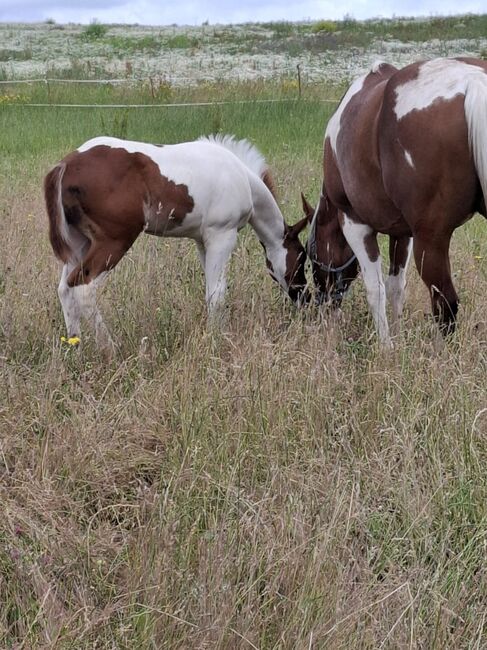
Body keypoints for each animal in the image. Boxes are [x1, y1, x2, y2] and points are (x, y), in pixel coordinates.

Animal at [43, 133, 306, 350]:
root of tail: (66, 164)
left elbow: (211, 289)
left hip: (80, 243)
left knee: (65, 289)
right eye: (302, 258)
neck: (241, 177)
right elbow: (217, 295)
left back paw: (75, 348)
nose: (303, 296)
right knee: (83, 288)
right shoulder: (222, 235)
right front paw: (217, 341)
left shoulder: (203, 241)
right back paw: (110, 349)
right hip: (114, 242)